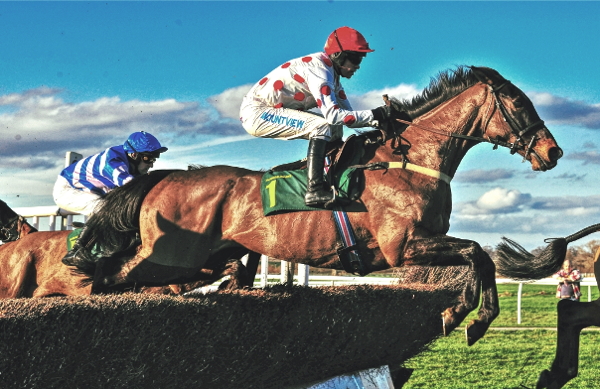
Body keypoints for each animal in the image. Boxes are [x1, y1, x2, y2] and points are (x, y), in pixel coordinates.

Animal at [74, 65, 564, 344]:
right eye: (518, 102)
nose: (553, 151)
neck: (411, 160)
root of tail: (166, 175)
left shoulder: (423, 241)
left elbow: (480, 259)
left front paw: (469, 317)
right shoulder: (402, 245)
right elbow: (478, 254)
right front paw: (466, 316)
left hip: (211, 259)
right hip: (170, 257)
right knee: (114, 275)